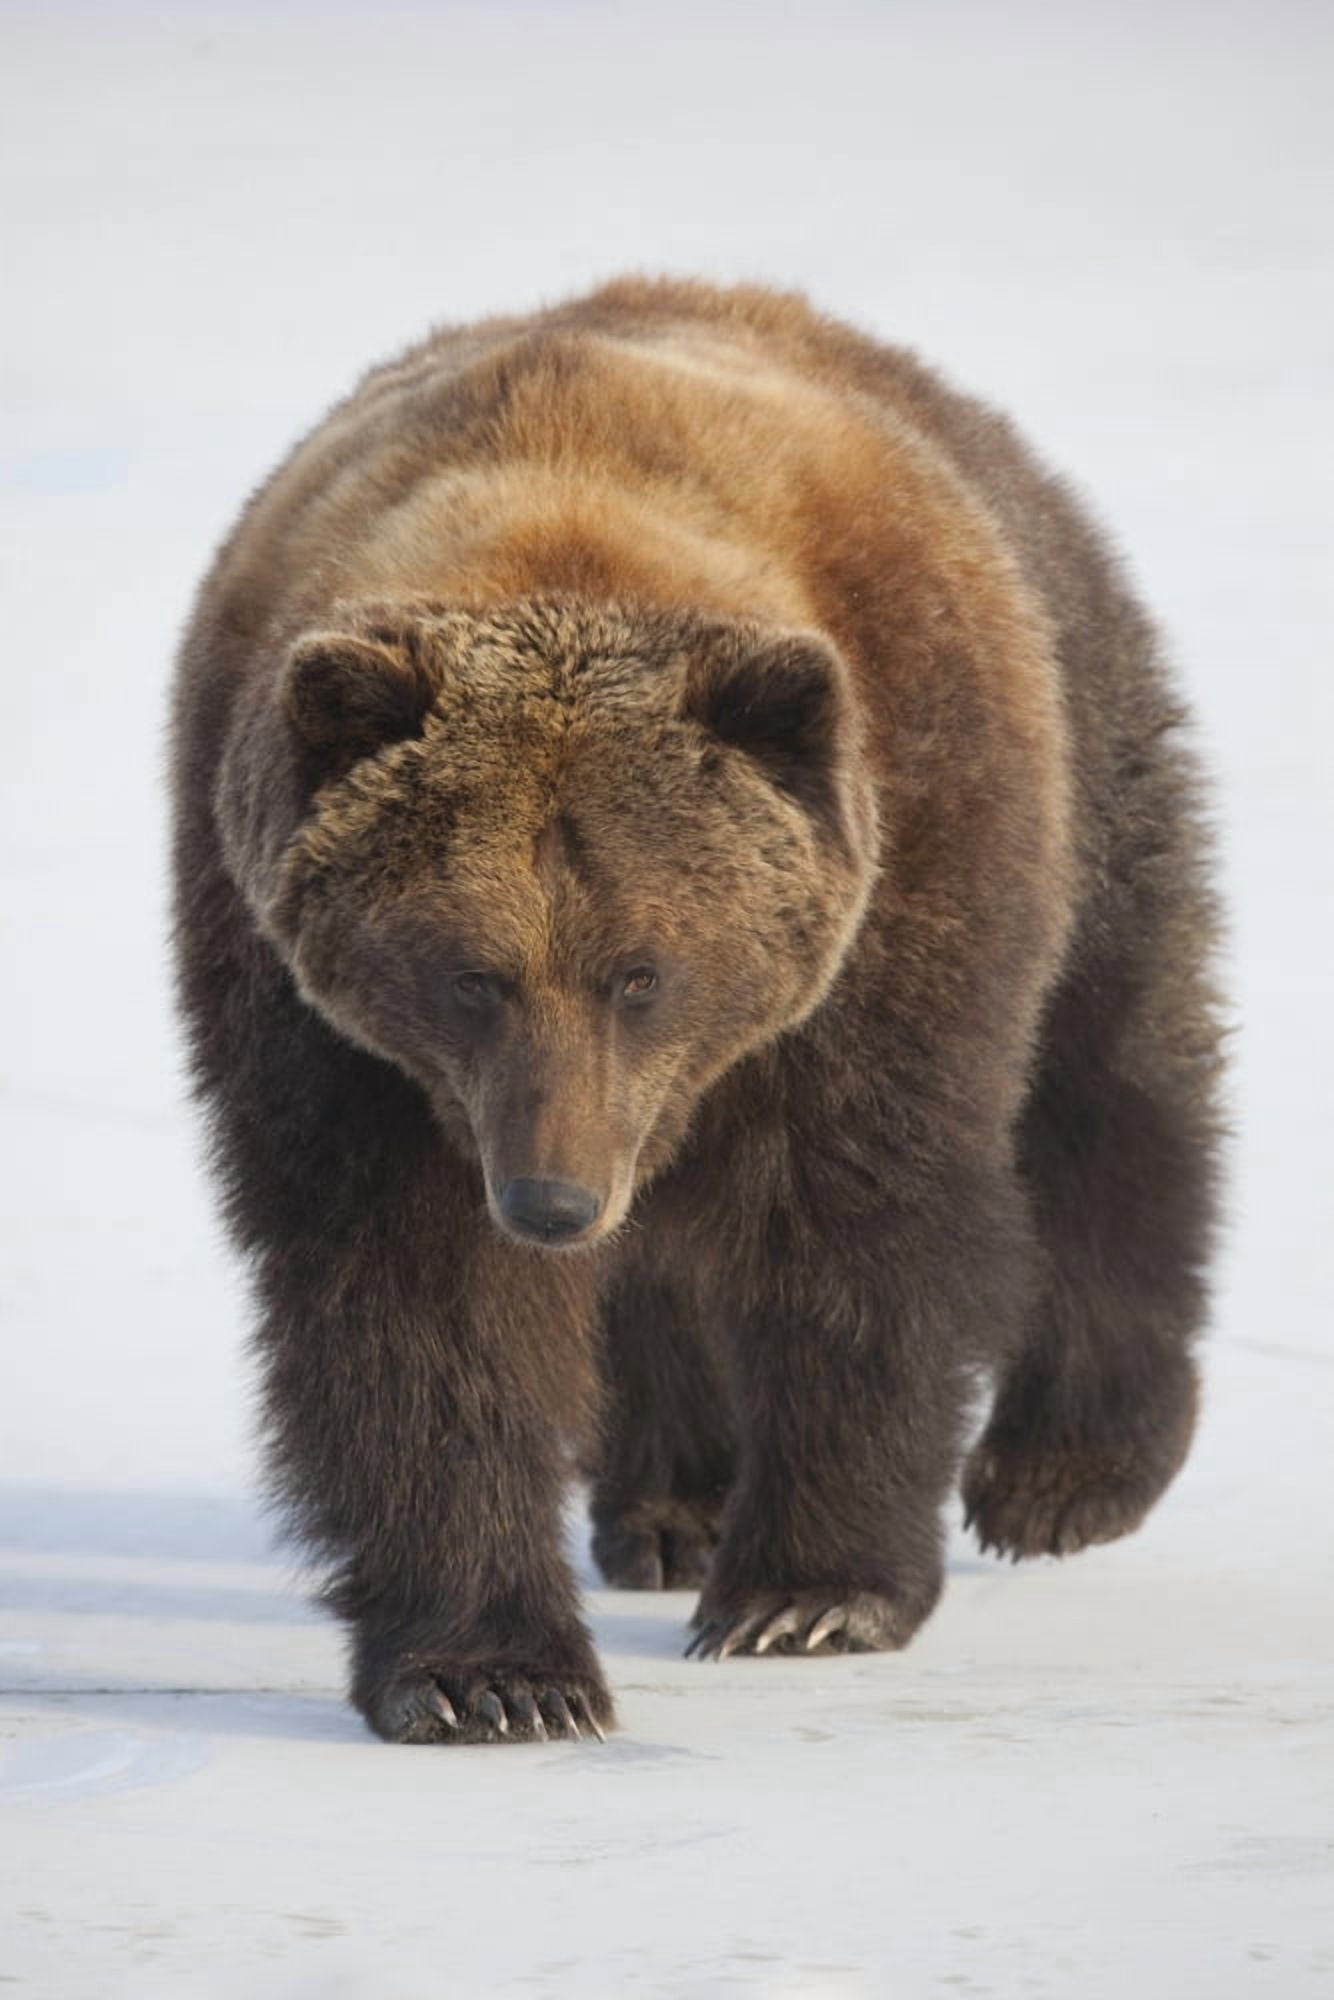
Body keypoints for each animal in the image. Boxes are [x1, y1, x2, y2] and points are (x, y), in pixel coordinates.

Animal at [170, 277, 1224, 1744]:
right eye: (467, 971)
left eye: (642, 968)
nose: (552, 1200)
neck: (564, 515)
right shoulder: (331, 1033)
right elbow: (418, 1298)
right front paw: (491, 1669)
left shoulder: (896, 887)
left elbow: (857, 1219)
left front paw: (808, 1592)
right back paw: (670, 1502)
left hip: (1074, 730)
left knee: (1103, 1072)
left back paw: (1066, 1465)